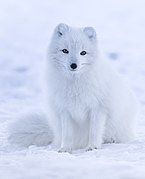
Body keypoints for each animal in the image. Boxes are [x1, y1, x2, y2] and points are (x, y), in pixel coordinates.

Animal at [8, 23, 139, 152]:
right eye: (65, 51)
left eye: (83, 52)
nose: (73, 65)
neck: (74, 84)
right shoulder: (64, 109)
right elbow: (67, 134)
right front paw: (65, 148)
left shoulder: (98, 108)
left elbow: (94, 131)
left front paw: (92, 147)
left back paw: (111, 140)